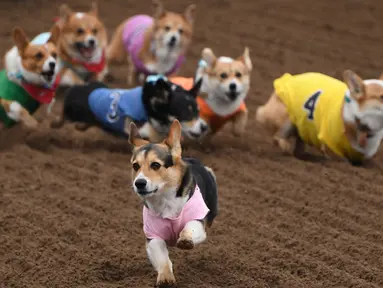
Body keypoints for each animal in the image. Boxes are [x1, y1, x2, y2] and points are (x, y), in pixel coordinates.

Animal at [51, 74, 207, 142]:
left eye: (198, 112)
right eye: (187, 114)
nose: (204, 127)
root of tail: (78, 87)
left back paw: (80, 126)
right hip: (73, 110)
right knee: (63, 115)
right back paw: (55, 123)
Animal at [128, 118, 218, 286]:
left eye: (155, 165)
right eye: (135, 166)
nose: (139, 183)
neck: (165, 199)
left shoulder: (198, 222)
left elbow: (189, 227)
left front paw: (185, 240)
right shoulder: (153, 237)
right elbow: (162, 258)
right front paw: (165, 277)